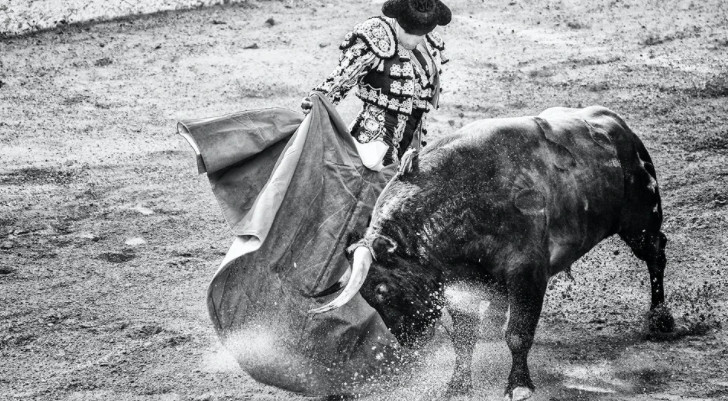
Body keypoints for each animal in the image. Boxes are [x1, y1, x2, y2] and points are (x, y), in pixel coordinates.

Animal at [309, 106, 677, 400]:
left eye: (383, 290)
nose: (410, 341)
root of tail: (620, 127)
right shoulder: (463, 283)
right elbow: (464, 337)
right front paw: (458, 385)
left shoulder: (528, 274)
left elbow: (517, 333)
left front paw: (519, 385)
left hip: (641, 223)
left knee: (657, 255)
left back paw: (660, 319)